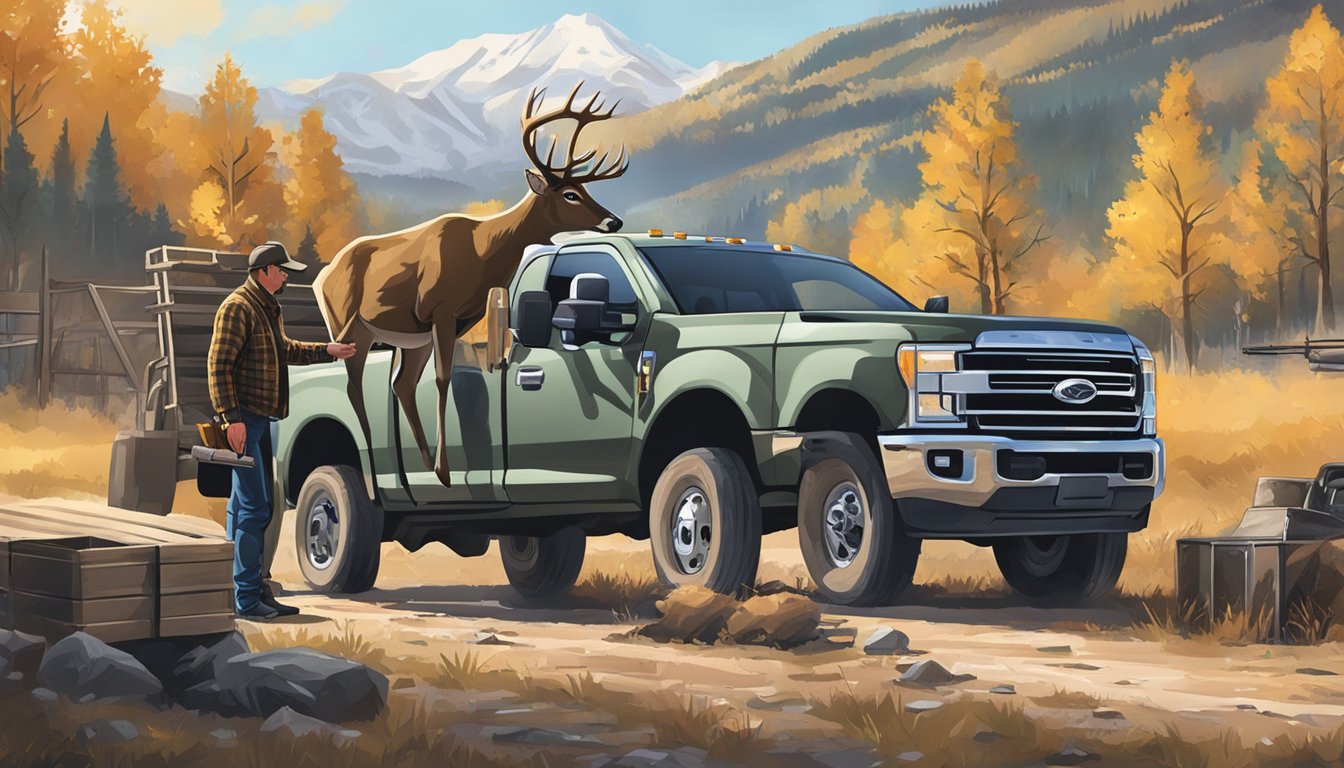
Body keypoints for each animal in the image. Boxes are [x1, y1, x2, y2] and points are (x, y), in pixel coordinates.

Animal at [313, 84, 628, 489]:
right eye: (570, 194)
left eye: (585, 191)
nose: (614, 221)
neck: (483, 253)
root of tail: (323, 276)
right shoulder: (440, 309)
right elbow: (443, 378)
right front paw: (446, 470)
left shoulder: (457, 319)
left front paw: (442, 468)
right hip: (347, 324)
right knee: (354, 387)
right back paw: (375, 475)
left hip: (405, 337)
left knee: (400, 384)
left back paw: (413, 468)